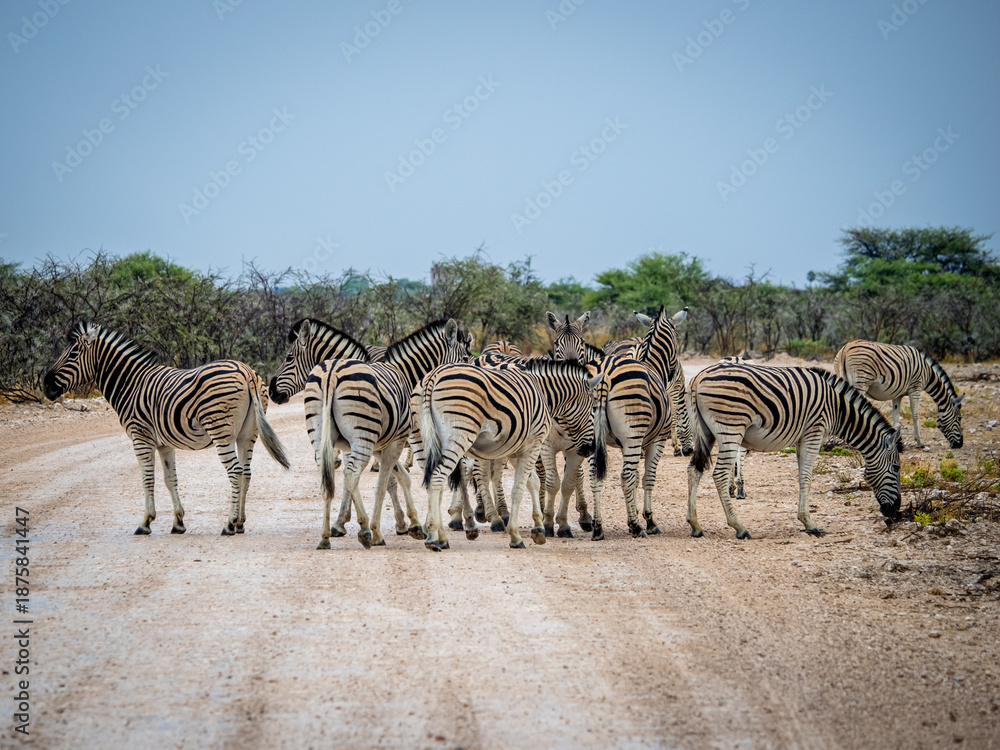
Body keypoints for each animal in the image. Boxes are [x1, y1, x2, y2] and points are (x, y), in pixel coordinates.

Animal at [43, 323, 290, 536]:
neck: (130, 385)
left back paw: (229, 524)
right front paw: (178, 522)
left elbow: (147, 478)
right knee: (246, 472)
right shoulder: (164, 444)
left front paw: (145, 522)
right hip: (247, 435)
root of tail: (246, 371)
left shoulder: (141, 438)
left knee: (235, 471)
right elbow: (170, 479)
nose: (46, 386)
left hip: (221, 432)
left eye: (73, 355)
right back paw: (239, 523)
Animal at [310, 319, 470, 549]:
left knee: (330, 476)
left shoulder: (381, 444)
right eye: (465, 358)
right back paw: (365, 532)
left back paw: (325, 537)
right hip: (361, 437)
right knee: (351, 474)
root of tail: (331, 372)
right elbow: (389, 482)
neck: (407, 377)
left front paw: (414, 524)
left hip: (322, 436)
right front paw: (390, 529)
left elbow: (400, 478)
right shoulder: (402, 440)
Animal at [410, 358, 600, 550]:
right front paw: (516, 536)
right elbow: (519, 489)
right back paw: (434, 537)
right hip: (459, 435)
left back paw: (440, 535)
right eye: (594, 408)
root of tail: (433, 376)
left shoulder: (518, 449)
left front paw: (538, 528)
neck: (544, 393)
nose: (589, 449)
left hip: (422, 439)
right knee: (438, 478)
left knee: (436, 481)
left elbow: (532, 482)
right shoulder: (534, 444)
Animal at [686, 362, 902, 539]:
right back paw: (739, 527)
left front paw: (805, 520)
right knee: (719, 474)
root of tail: (698, 377)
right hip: (731, 427)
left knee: (694, 470)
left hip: (706, 433)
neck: (838, 409)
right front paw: (810, 523)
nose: (896, 513)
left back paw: (695, 525)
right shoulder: (814, 432)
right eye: (897, 467)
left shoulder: (801, 438)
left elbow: (801, 476)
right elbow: (807, 477)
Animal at [834, 340, 963, 449]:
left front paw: (894, 440)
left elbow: (895, 417)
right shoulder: (915, 388)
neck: (928, 373)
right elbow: (915, 415)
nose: (960, 445)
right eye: (959, 418)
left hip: (842, 379)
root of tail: (846, 348)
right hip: (861, 383)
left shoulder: (897, 395)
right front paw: (919, 443)